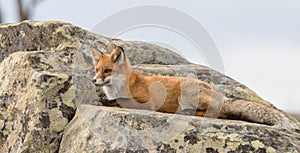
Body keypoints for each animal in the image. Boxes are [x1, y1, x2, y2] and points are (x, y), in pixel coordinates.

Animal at [92, 45, 298, 129]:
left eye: (107, 71)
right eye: (97, 70)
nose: (94, 81)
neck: (122, 85)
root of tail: (220, 94)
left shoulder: (146, 103)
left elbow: (119, 102)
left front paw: (106, 102)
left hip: (189, 95)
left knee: (219, 113)